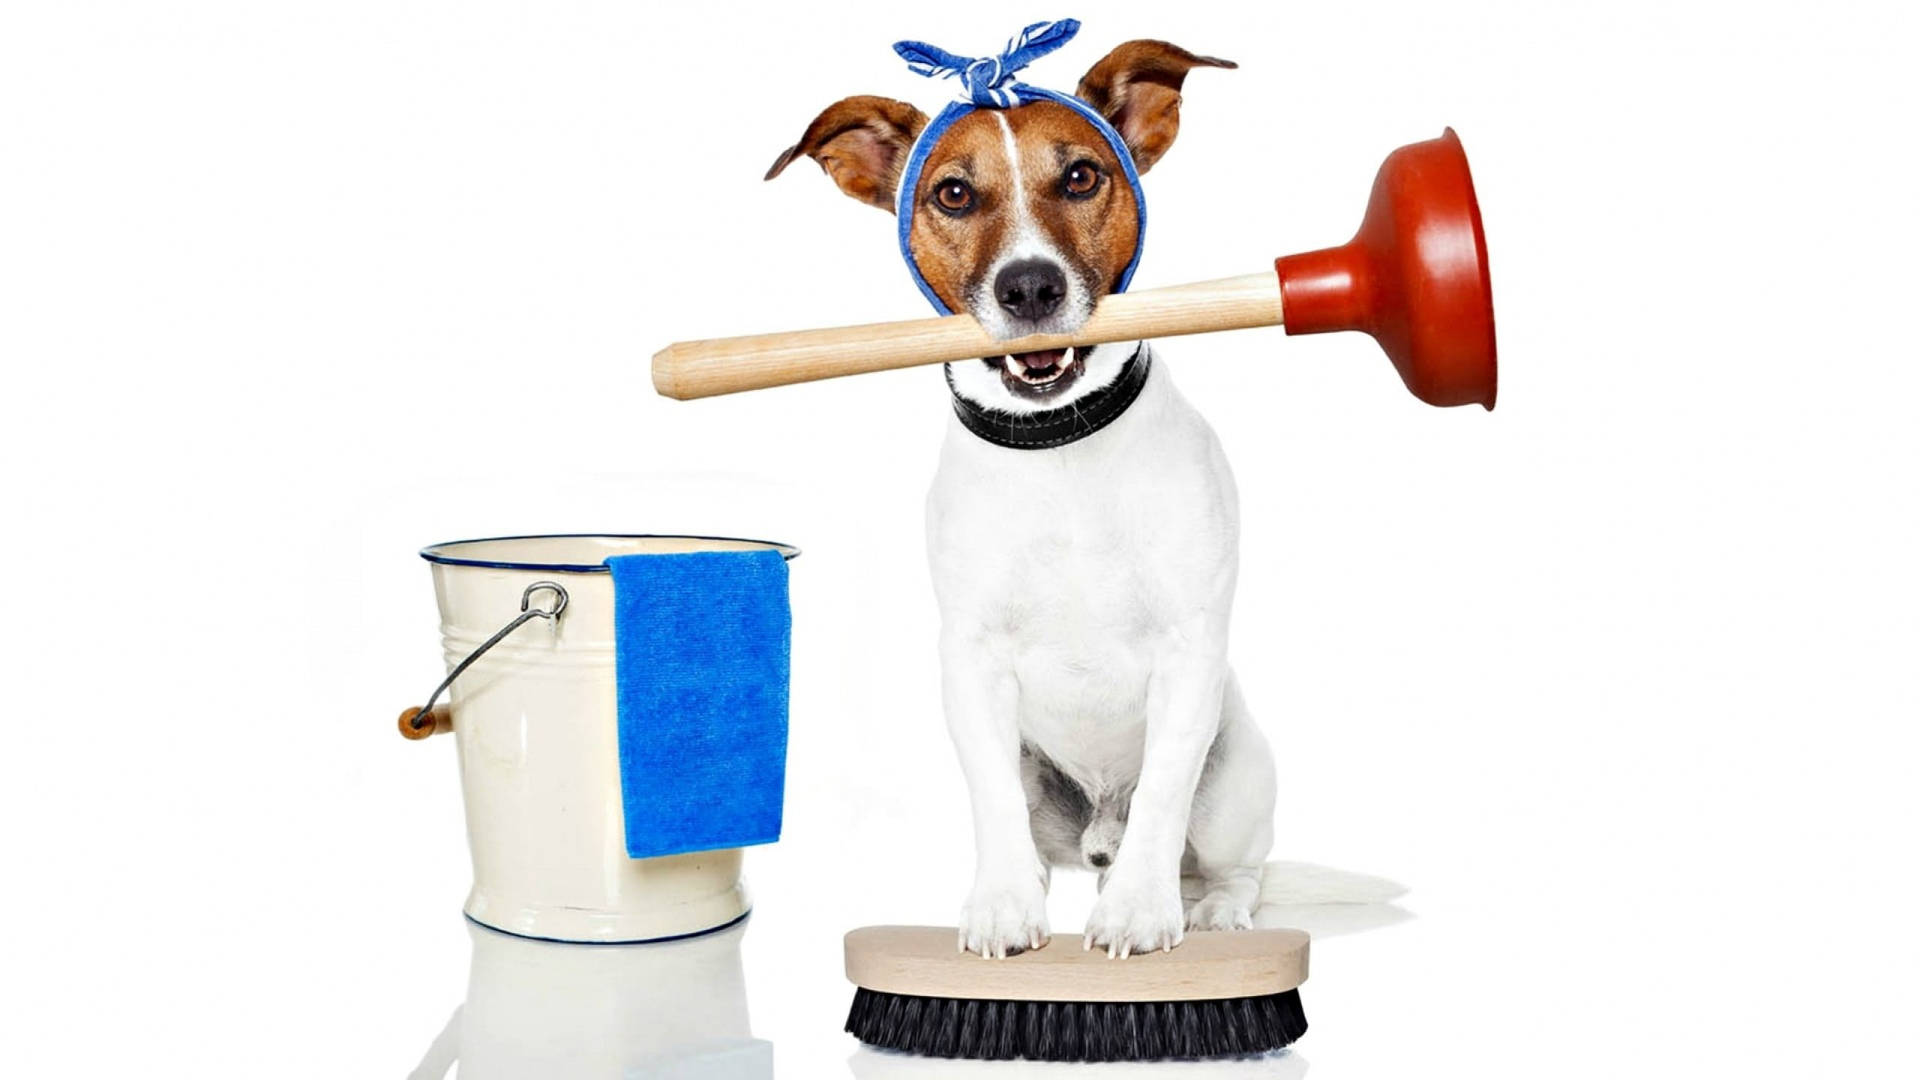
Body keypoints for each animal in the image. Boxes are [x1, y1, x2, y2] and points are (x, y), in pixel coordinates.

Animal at [768, 35, 1397, 957]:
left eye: (1080, 177)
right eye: (952, 193)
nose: (1031, 287)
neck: (1060, 446)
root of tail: (1099, 827)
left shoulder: (1189, 651)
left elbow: (1166, 791)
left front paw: (1138, 912)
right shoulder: (972, 662)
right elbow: (993, 799)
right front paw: (1001, 909)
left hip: (1237, 772)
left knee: (1223, 862)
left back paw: (1210, 909)